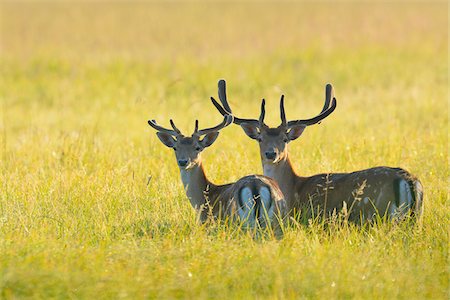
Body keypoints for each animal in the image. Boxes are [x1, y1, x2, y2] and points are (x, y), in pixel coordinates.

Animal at [149, 113, 288, 230]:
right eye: (175, 147)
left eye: (197, 148)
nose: (183, 161)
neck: (205, 198)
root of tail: (255, 187)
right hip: (275, 220)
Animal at [211, 80, 422, 223]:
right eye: (260, 138)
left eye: (285, 139)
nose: (271, 154)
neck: (292, 188)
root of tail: (410, 181)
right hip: (414, 219)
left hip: (382, 214)